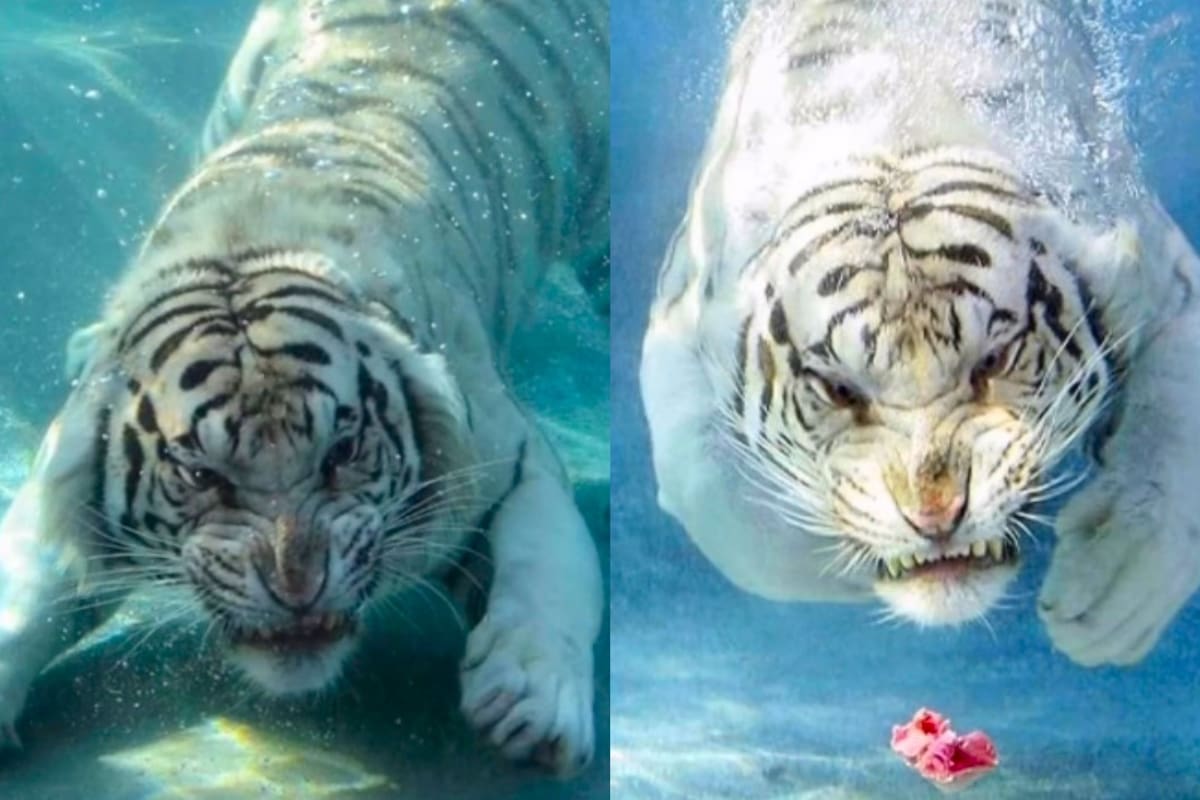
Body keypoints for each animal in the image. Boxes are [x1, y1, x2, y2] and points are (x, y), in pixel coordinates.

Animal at [0, 0, 607, 776]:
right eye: (200, 475)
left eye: (341, 453)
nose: (297, 589)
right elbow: (24, 583)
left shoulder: (511, 461)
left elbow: (547, 570)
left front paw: (532, 701)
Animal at [641, 0, 1200, 667]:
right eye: (839, 390)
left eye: (994, 360)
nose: (936, 519)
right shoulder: (680, 322)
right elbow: (715, 504)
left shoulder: (1158, 269)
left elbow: (1175, 438)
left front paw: (1114, 591)